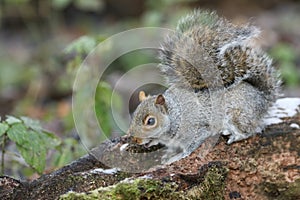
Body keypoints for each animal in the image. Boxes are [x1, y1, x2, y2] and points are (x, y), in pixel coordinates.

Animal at [125, 9, 280, 164]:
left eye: (151, 121)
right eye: (134, 114)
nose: (135, 139)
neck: (174, 115)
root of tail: (263, 98)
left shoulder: (195, 130)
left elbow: (190, 147)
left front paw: (176, 156)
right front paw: (165, 151)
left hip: (238, 116)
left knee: (251, 130)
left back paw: (234, 135)